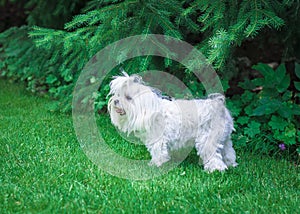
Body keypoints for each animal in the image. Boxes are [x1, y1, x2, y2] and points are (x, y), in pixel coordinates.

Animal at [107, 72, 237, 172]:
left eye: (128, 98)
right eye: (117, 95)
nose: (116, 101)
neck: (149, 111)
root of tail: (219, 106)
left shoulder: (158, 140)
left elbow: (158, 153)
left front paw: (156, 165)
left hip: (208, 140)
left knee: (214, 156)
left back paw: (215, 170)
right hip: (224, 139)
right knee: (229, 152)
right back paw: (231, 165)